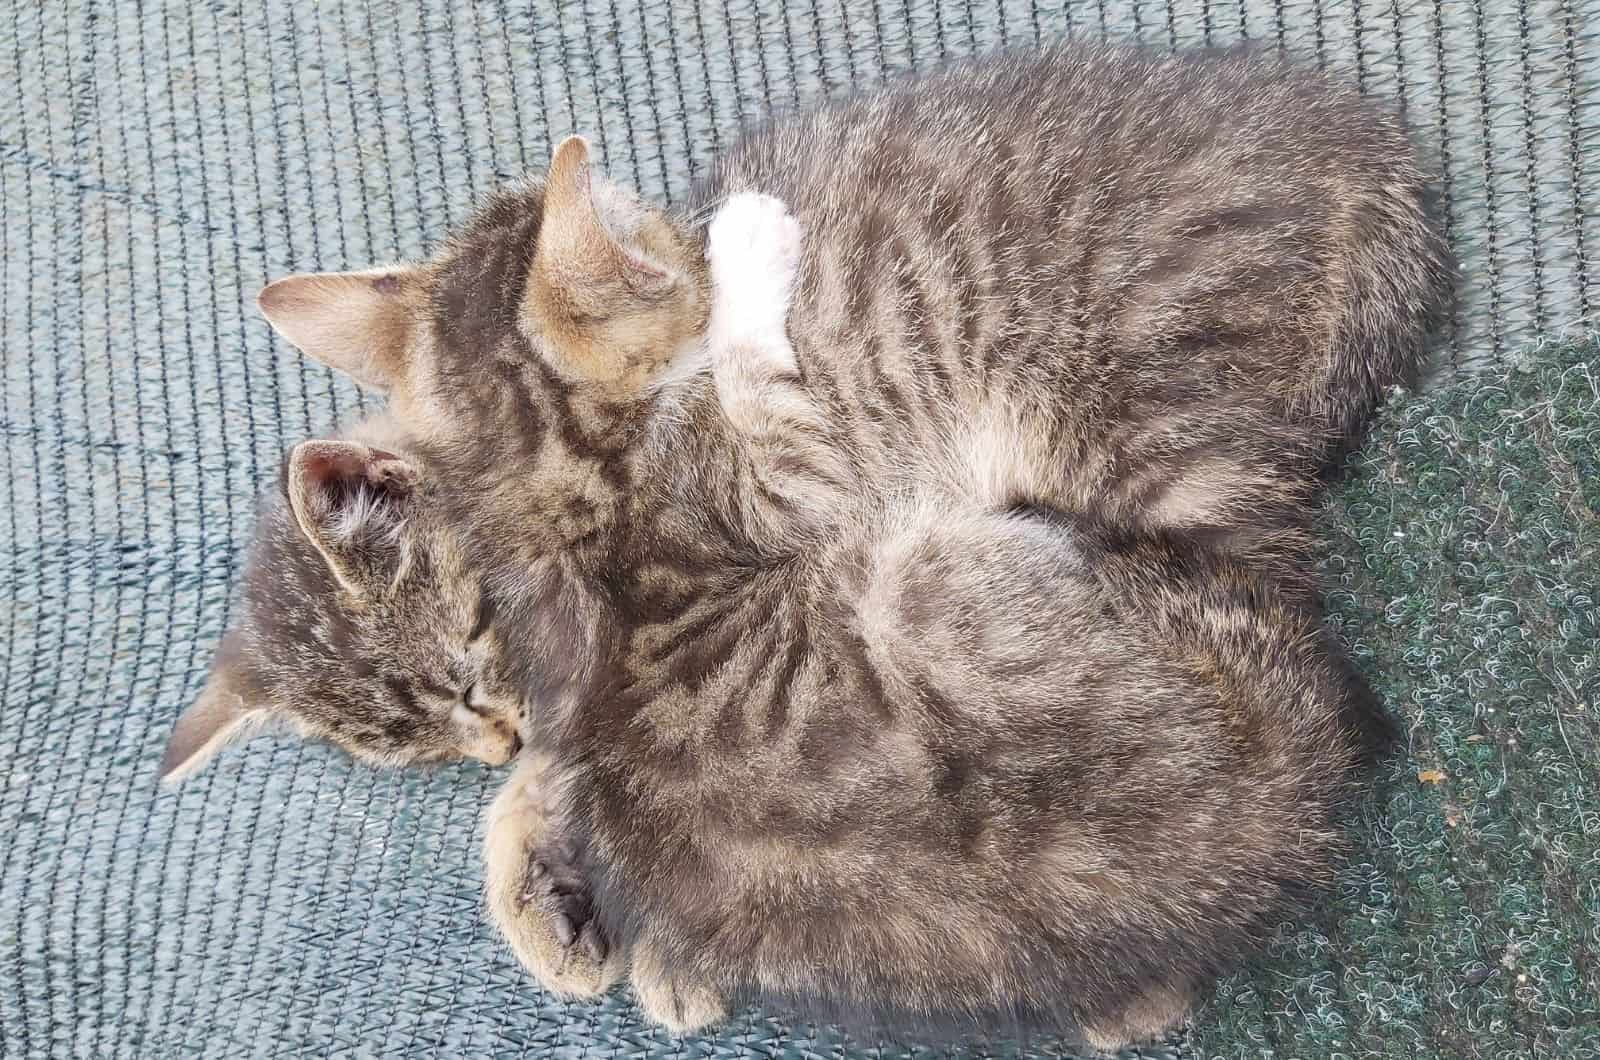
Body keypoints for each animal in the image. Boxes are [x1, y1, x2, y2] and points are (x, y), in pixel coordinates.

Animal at [162, 43, 1452, 1056]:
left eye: (476, 649)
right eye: (425, 743)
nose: (494, 741)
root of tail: (1365, 163)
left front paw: (618, 918)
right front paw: (556, 891)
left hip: (1140, 430)